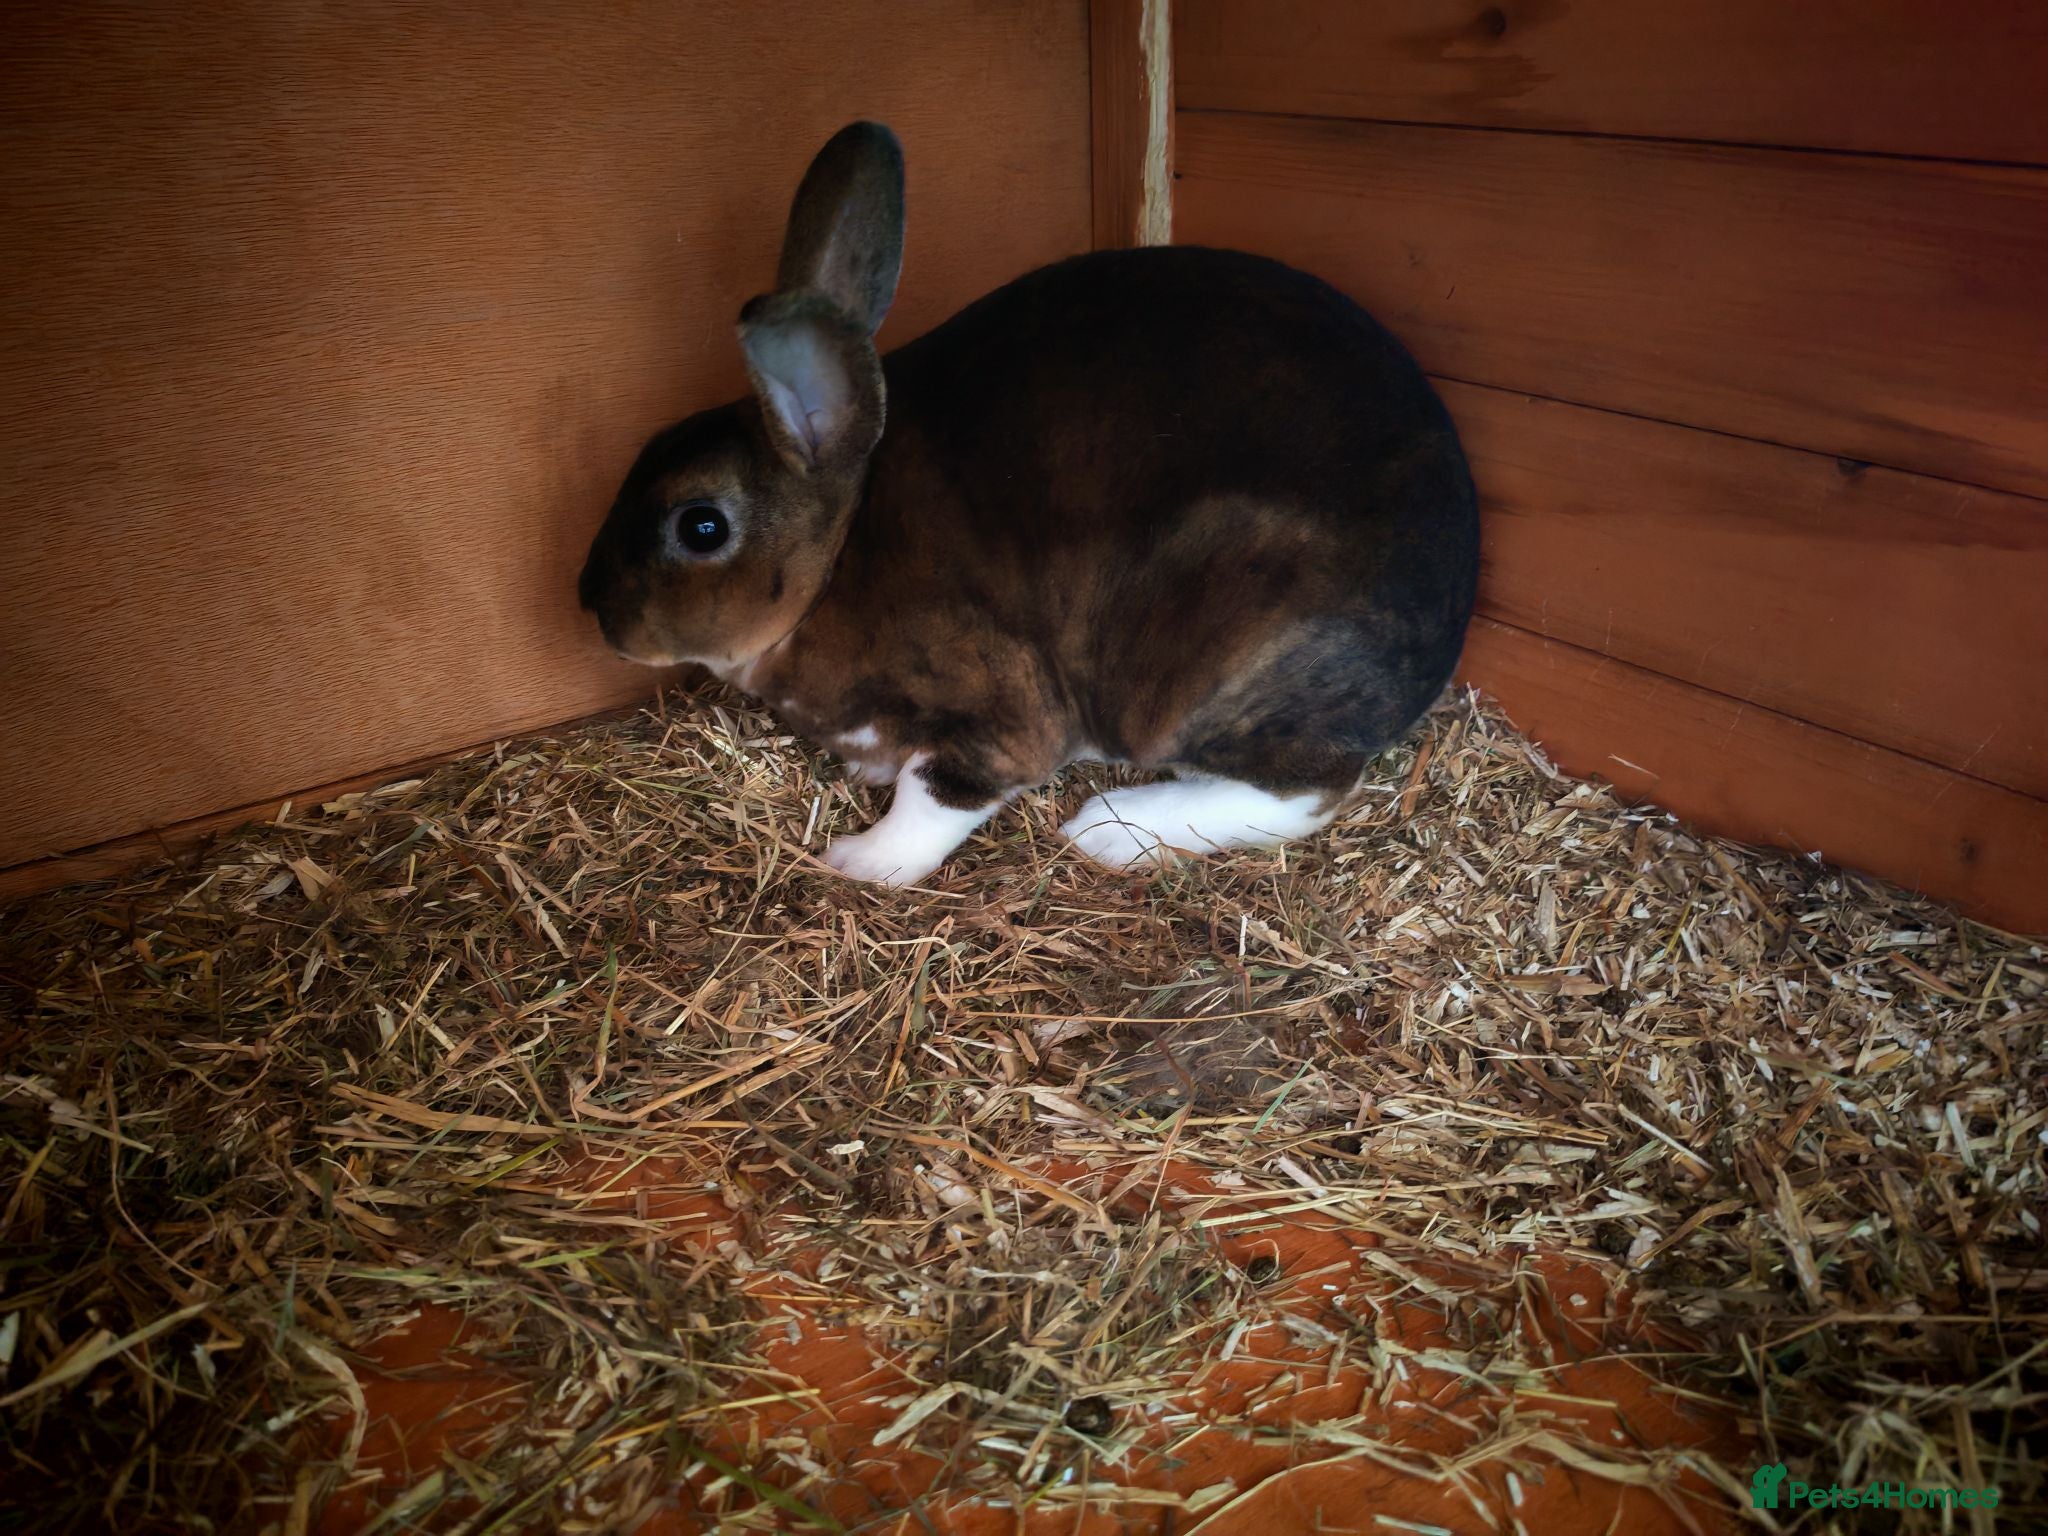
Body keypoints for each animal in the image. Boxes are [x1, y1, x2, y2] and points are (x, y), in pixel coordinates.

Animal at [579, 121, 1480, 887]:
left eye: (700, 526)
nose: (590, 604)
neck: (833, 560)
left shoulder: (994, 710)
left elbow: (936, 798)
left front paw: (858, 862)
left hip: (1211, 667)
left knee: (1304, 791)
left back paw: (1107, 829)